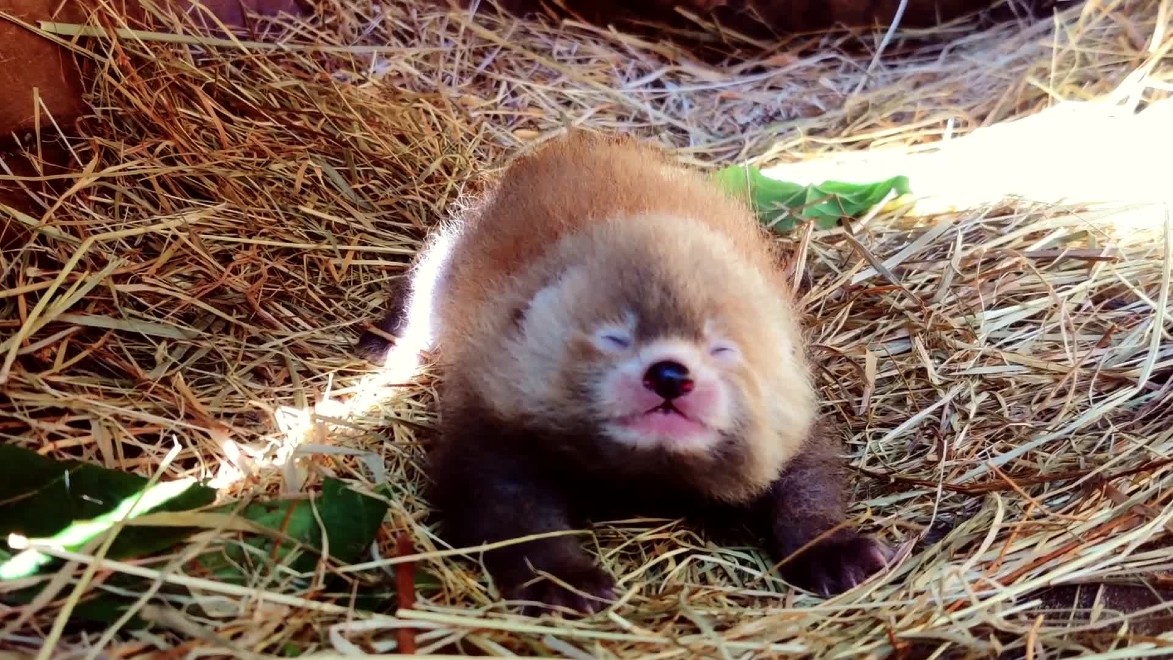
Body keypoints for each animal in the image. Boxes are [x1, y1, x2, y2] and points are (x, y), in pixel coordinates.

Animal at [361, 131, 891, 618]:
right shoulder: (489, 416)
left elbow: (809, 484)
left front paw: (836, 552)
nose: (670, 374)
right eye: (615, 336)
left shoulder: (793, 418)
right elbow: (509, 511)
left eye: (722, 348)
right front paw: (565, 581)